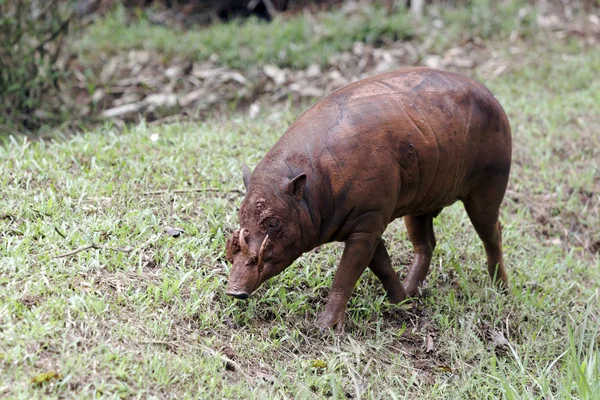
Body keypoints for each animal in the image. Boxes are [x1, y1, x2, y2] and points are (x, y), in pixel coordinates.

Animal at [225, 69, 510, 330]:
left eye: (273, 223)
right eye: (241, 216)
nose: (234, 291)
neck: (317, 187)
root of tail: (495, 99)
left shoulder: (368, 220)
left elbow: (347, 273)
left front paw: (323, 327)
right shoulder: (369, 221)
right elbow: (381, 264)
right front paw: (400, 302)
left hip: (489, 184)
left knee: (492, 233)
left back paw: (501, 288)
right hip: (419, 203)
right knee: (426, 244)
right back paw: (412, 291)